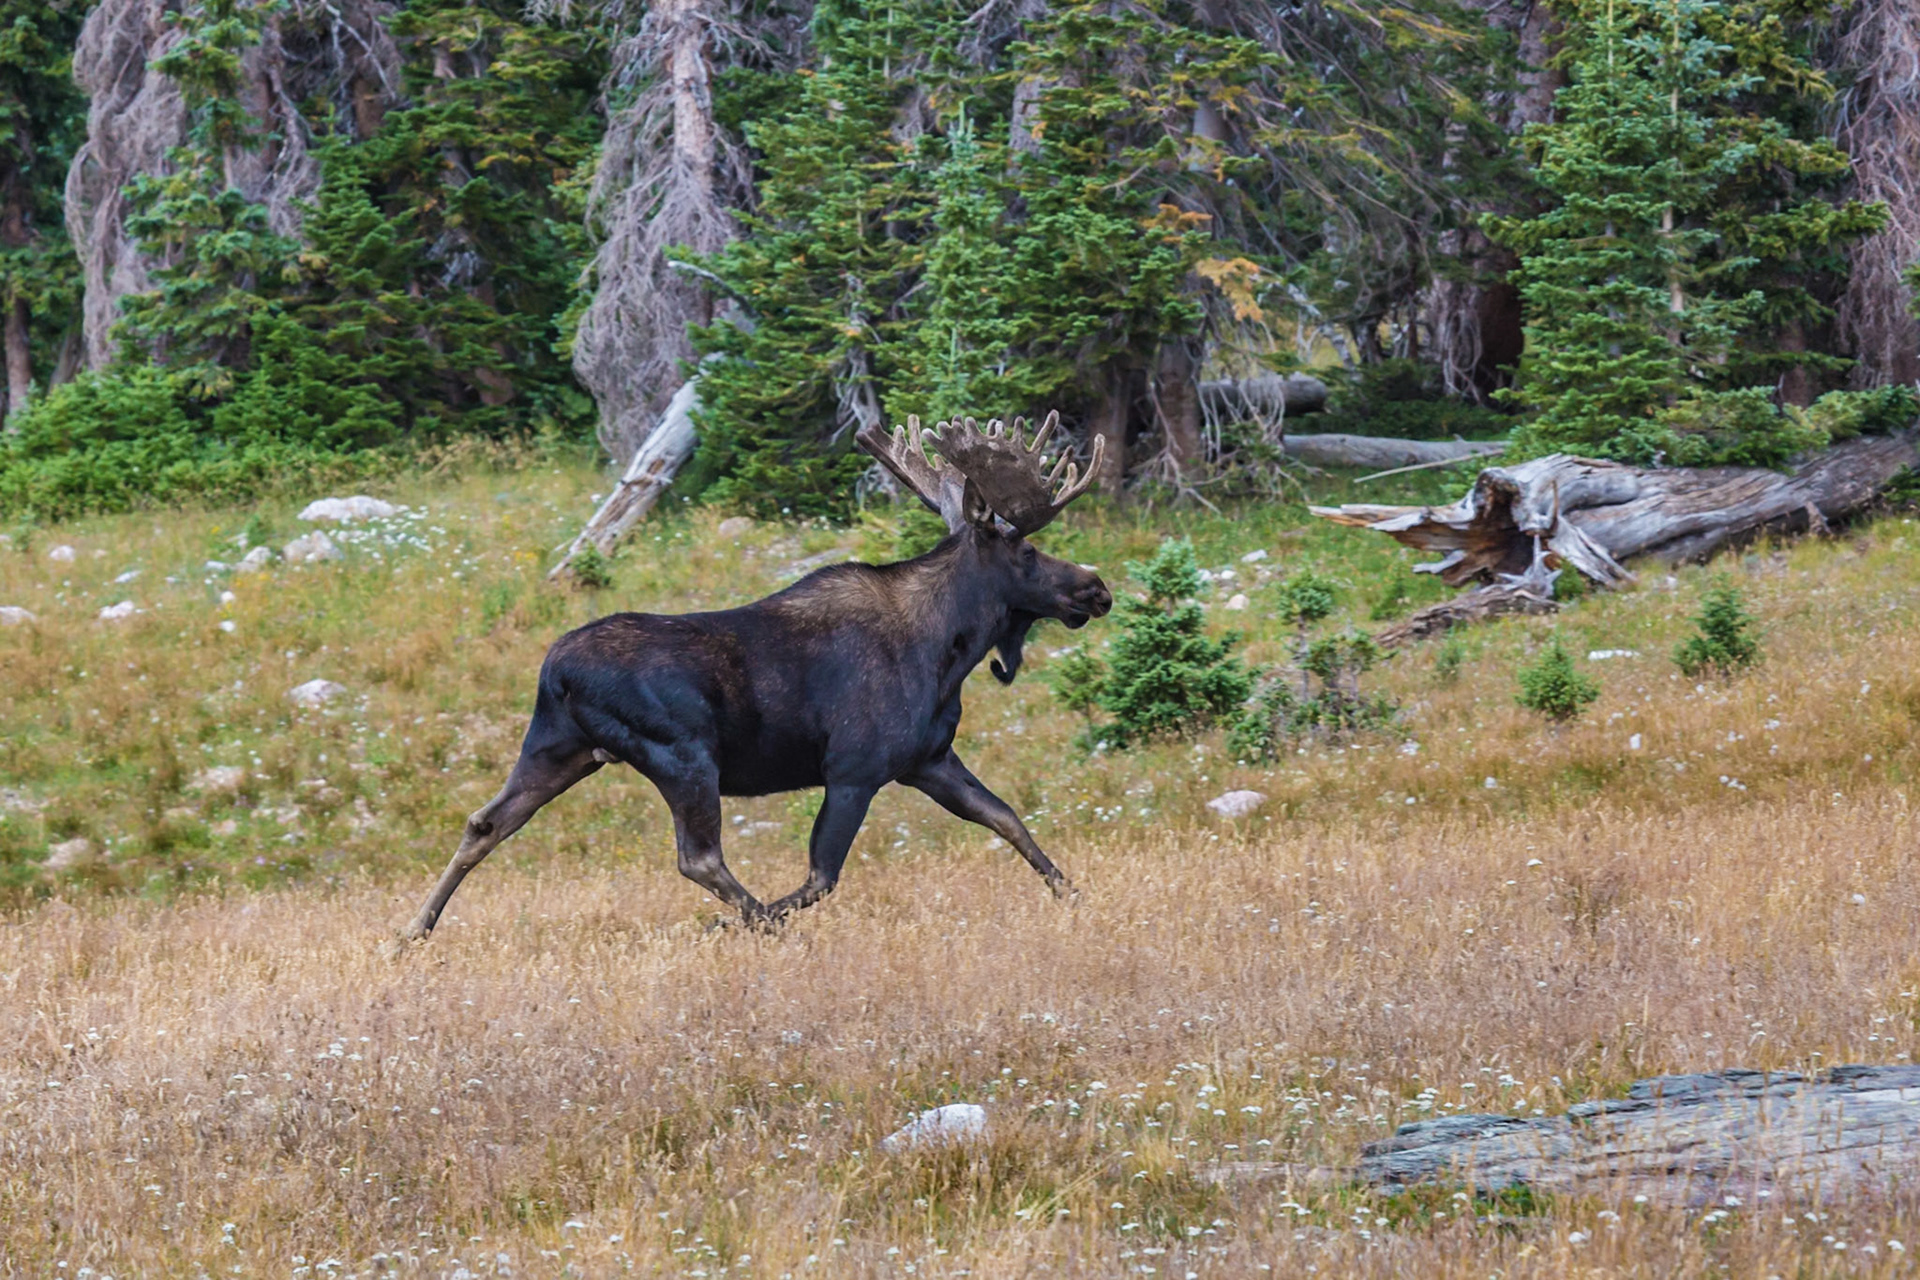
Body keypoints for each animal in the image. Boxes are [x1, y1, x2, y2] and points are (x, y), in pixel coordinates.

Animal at [403, 411, 1112, 938]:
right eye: (1026, 549)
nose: (1096, 588)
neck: (949, 651)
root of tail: (555, 673)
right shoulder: (855, 768)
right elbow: (822, 876)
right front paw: (755, 920)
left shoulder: (928, 759)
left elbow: (1007, 819)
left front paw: (1075, 896)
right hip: (683, 756)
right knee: (699, 857)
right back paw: (750, 923)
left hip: (559, 749)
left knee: (485, 823)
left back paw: (414, 930)